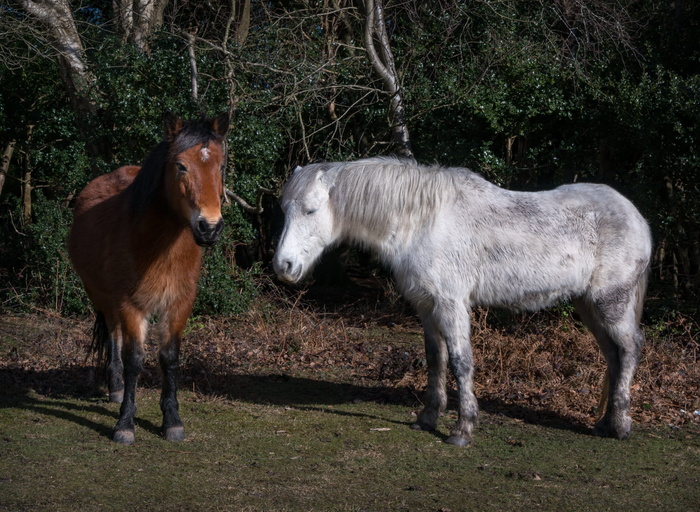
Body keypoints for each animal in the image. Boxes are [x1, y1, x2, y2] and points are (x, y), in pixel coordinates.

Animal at [68, 113, 228, 444]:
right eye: (181, 166)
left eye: (221, 167)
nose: (209, 227)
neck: (158, 246)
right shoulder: (130, 304)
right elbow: (134, 359)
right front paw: (125, 424)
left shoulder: (180, 304)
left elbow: (169, 357)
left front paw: (172, 421)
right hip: (103, 297)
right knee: (114, 335)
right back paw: (116, 388)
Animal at [272, 158, 652, 446]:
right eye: (284, 210)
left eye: (311, 210)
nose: (283, 266)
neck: (422, 222)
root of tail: (636, 217)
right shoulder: (426, 307)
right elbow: (434, 359)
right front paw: (427, 418)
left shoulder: (451, 304)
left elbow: (460, 361)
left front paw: (462, 430)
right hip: (589, 306)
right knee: (614, 355)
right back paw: (604, 423)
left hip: (611, 303)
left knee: (630, 348)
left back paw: (620, 426)